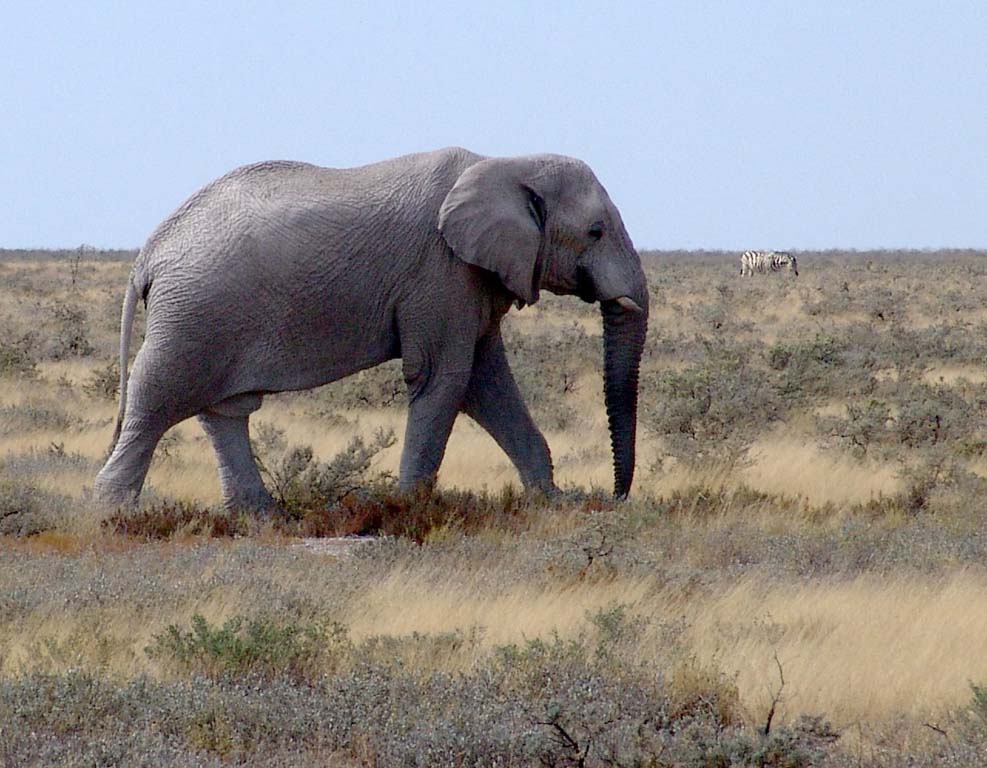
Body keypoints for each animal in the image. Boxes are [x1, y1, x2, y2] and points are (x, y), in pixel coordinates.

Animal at [90, 148, 648, 512]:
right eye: (595, 231)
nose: (615, 497)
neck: (508, 162)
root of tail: (149, 253)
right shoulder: (440, 271)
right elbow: (445, 378)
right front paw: (408, 510)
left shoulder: (472, 280)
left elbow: (487, 384)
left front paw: (553, 503)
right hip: (194, 313)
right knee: (155, 401)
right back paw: (110, 514)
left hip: (204, 315)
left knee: (222, 410)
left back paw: (261, 517)